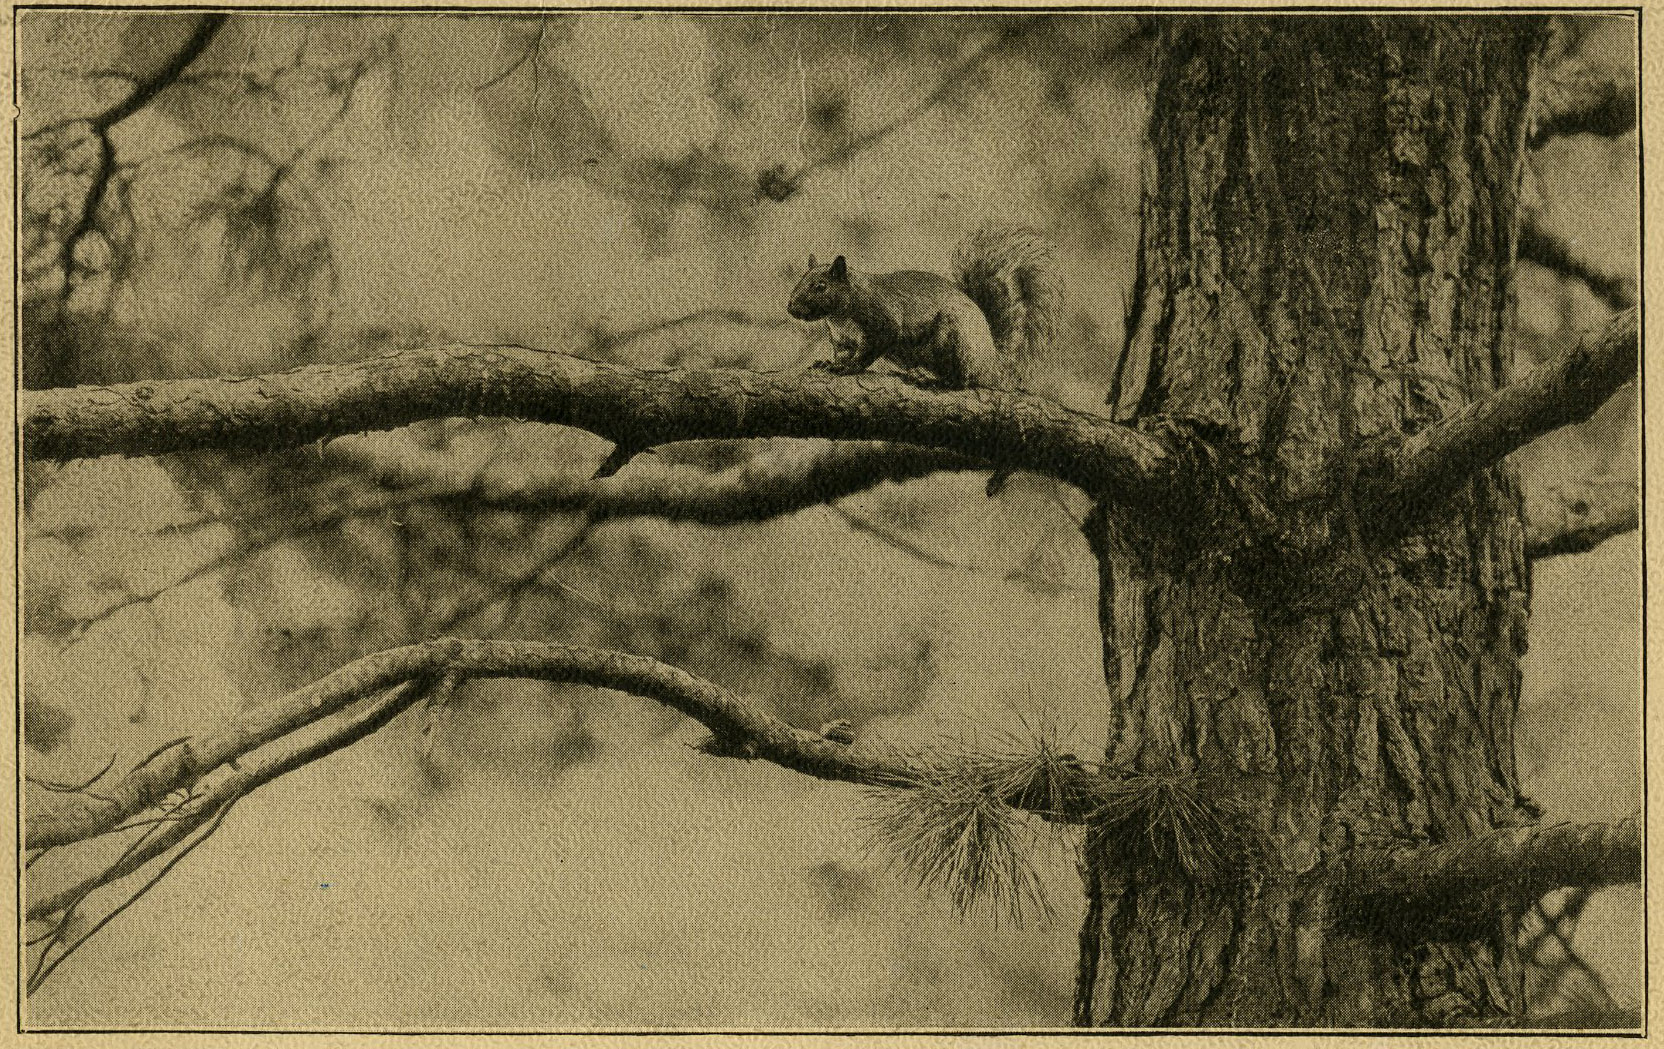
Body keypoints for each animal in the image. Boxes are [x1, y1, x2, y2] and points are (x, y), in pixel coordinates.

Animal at [785, 224, 1058, 492]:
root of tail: (991, 359)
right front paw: (829, 363)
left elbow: (870, 350)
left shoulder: (884, 322)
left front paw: (850, 368)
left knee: (963, 379)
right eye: (800, 280)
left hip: (954, 335)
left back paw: (936, 381)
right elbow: (840, 353)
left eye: (821, 286)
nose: (791, 309)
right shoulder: (841, 339)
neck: (841, 313)